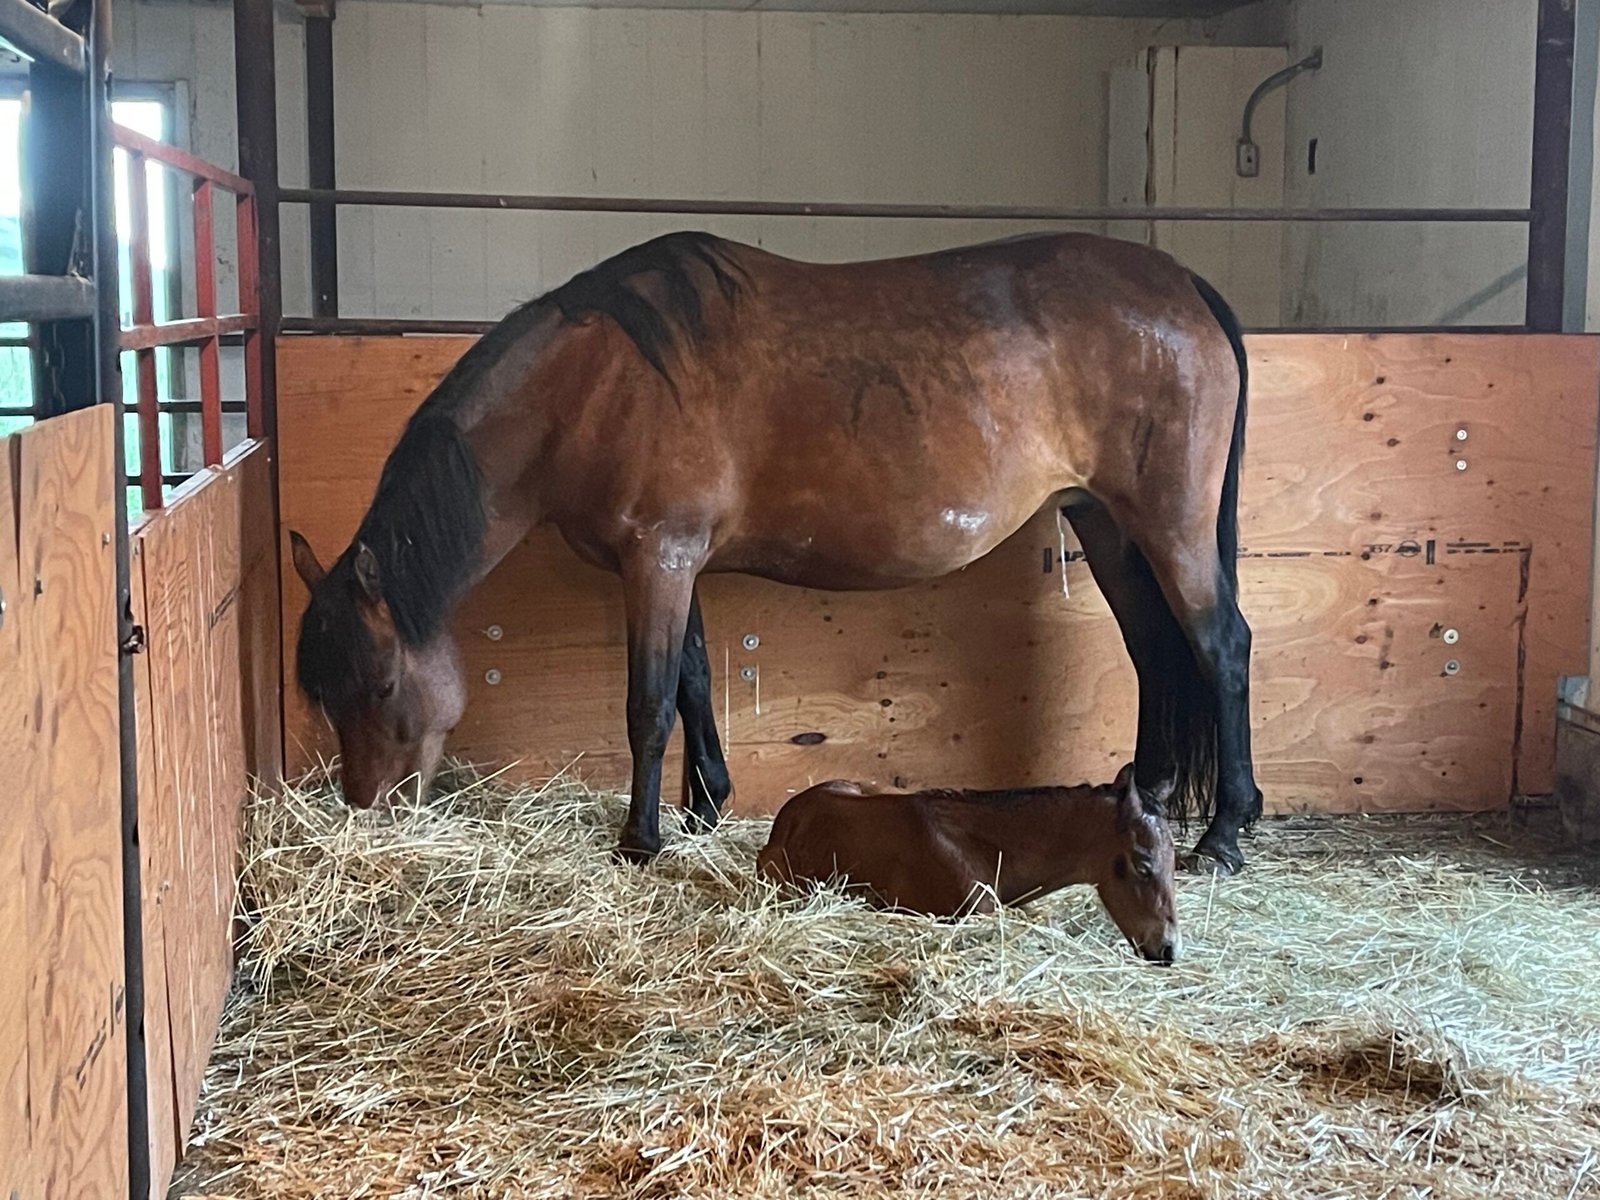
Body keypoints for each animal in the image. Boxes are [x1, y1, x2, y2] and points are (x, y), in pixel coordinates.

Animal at [288, 229, 1263, 874]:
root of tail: (1181, 284)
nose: (365, 810)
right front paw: (704, 807)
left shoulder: (659, 558)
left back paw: (1225, 834)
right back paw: (1153, 799)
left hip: (1167, 526)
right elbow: (692, 679)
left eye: (381, 685)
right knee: (1153, 649)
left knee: (1221, 647)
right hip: (1105, 524)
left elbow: (649, 704)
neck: (593, 383)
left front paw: (642, 839)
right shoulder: (675, 562)